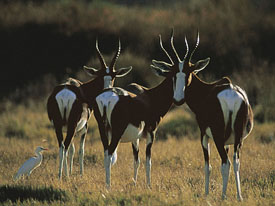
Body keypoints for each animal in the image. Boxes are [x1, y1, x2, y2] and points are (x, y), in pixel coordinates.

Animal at [46, 39, 133, 179]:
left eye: (113, 76)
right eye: (100, 76)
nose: (107, 90)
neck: (82, 89)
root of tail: (64, 94)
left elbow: (73, 149)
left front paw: (71, 171)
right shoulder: (84, 128)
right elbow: (81, 150)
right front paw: (80, 173)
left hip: (59, 126)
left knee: (62, 147)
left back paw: (60, 175)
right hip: (71, 126)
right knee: (65, 147)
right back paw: (65, 176)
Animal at [91, 30, 210, 188]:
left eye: (188, 73)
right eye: (173, 74)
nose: (178, 99)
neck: (149, 96)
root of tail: (106, 97)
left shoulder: (135, 138)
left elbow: (137, 160)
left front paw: (135, 183)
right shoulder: (151, 133)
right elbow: (148, 161)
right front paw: (149, 185)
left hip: (103, 131)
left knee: (105, 154)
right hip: (116, 133)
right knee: (109, 154)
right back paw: (108, 187)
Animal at [153, 31, 254, 200]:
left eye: (188, 73)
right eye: (173, 74)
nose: (178, 99)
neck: (208, 90)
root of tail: (231, 94)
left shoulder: (204, 135)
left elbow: (208, 166)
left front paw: (206, 193)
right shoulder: (228, 142)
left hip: (218, 137)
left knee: (226, 163)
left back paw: (223, 197)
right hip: (238, 138)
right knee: (235, 162)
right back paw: (239, 197)